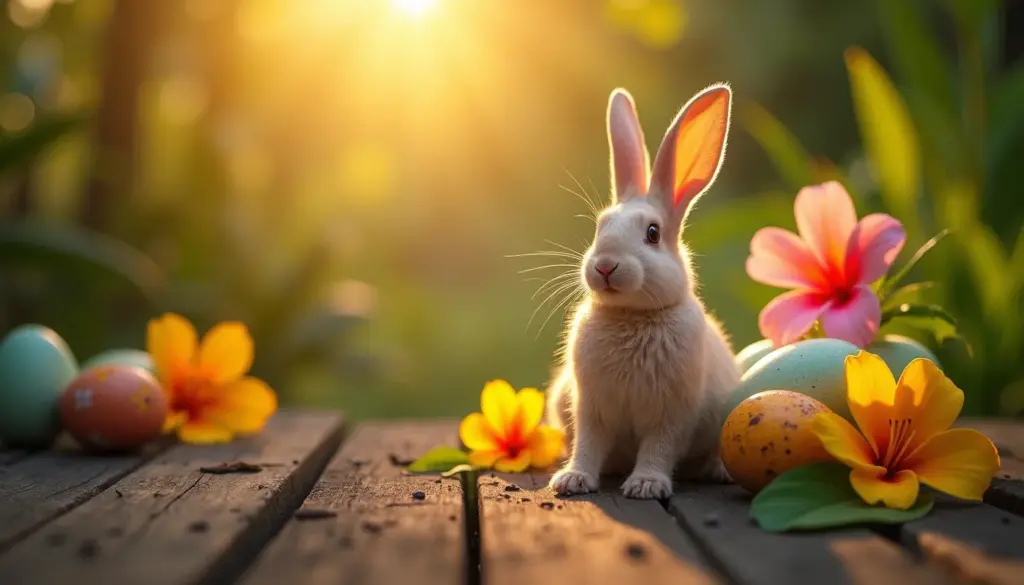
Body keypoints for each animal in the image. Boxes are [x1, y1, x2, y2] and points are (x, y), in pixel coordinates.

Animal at [545, 83, 742, 499]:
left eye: (653, 233)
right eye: (599, 227)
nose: (605, 266)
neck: (632, 316)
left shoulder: (671, 414)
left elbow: (658, 447)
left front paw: (646, 486)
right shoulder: (591, 406)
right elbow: (588, 444)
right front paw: (572, 479)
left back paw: (717, 470)